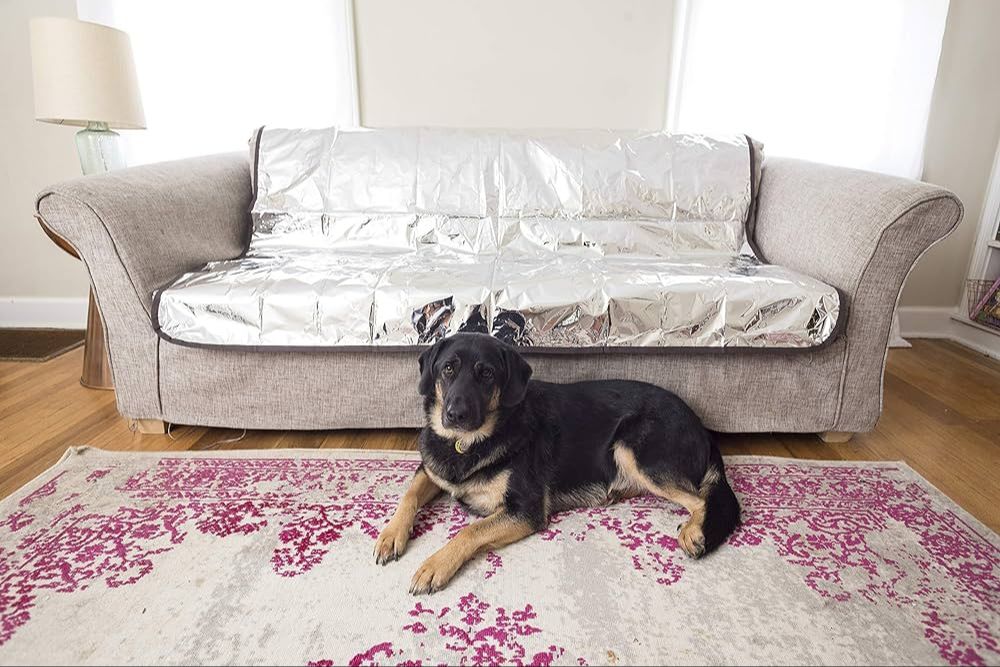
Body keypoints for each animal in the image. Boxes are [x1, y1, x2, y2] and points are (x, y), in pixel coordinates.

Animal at [372, 334, 740, 596]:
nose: (455, 415)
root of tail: (702, 427)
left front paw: (434, 566)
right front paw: (391, 535)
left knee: (702, 499)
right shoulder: (431, 469)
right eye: (448, 368)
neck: (468, 443)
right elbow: (409, 495)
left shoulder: (525, 510)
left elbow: (469, 531)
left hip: (633, 448)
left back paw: (693, 531)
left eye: (486, 374)